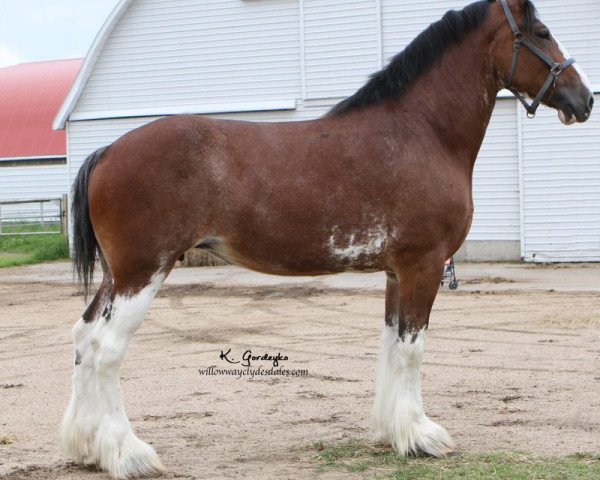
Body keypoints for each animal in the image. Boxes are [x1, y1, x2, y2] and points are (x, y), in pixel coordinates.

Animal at [64, 0, 592, 476]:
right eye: (542, 32)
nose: (584, 98)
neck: (421, 132)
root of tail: (108, 150)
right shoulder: (423, 265)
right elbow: (412, 348)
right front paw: (421, 436)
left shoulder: (397, 271)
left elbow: (390, 344)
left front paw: (392, 432)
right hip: (143, 271)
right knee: (107, 348)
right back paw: (129, 455)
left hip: (117, 276)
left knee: (85, 337)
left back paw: (87, 448)